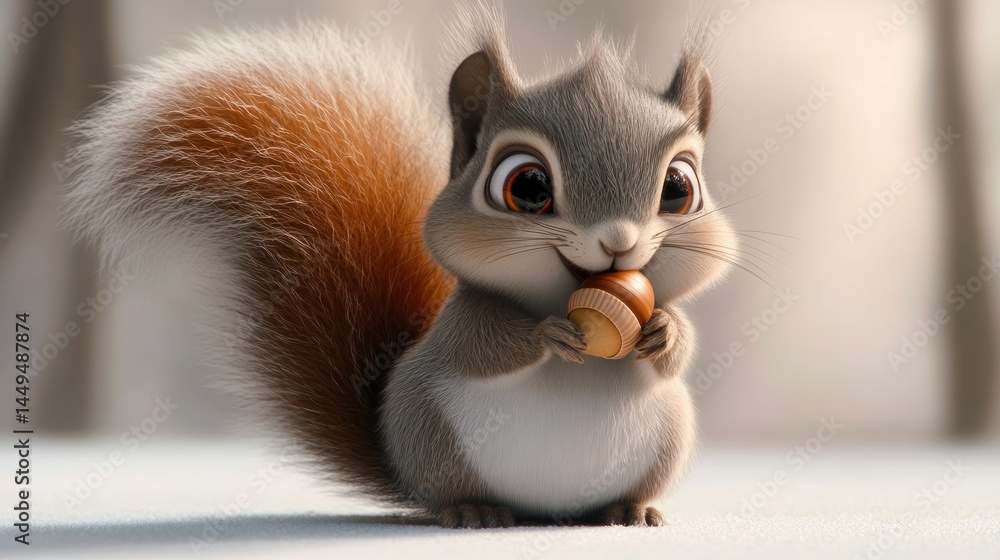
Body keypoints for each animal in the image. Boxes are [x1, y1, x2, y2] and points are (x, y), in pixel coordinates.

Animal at [63, 10, 735, 528]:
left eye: (679, 187)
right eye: (528, 186)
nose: (618, 242)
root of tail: (544, 512)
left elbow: (681, 349)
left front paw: (664, 330)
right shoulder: (464, 318)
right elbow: (481, 346)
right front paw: (549, 334)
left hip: (669, 435)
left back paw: (628, 510)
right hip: (431, 435)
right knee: (453, 492)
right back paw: (474, 512)